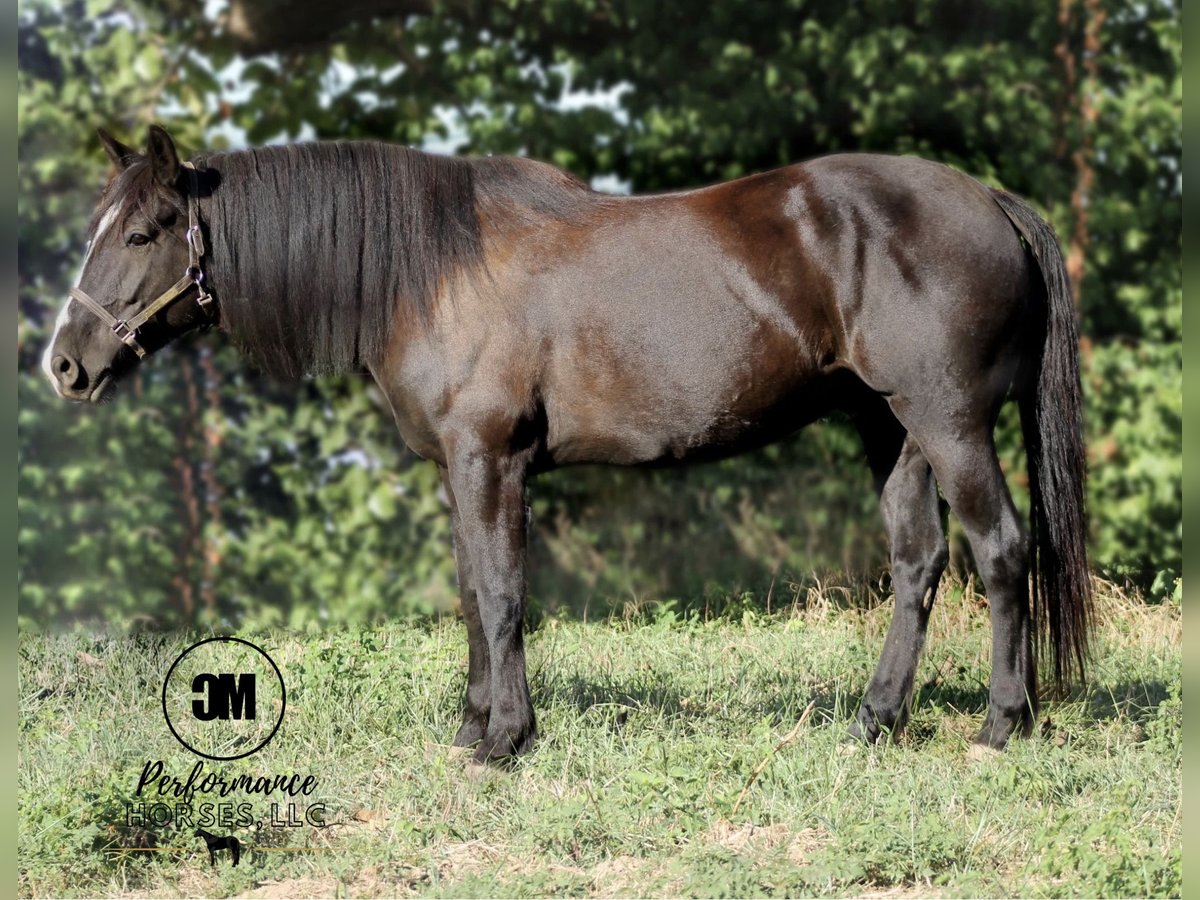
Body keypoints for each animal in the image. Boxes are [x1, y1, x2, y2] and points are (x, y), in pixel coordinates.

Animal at [43, 125, 1091, 763]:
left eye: (142, 233)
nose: (64, 364)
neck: (432, 269)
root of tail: (990, 201)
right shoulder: (460, 471)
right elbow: (473, 596)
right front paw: (473, 729)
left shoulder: (491, 460)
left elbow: (504, 595)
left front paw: (506, 737)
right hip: (894, 429)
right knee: (919, 564)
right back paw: (876, 719)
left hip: (949, 423)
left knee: (1002, 551)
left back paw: (1001, 723)